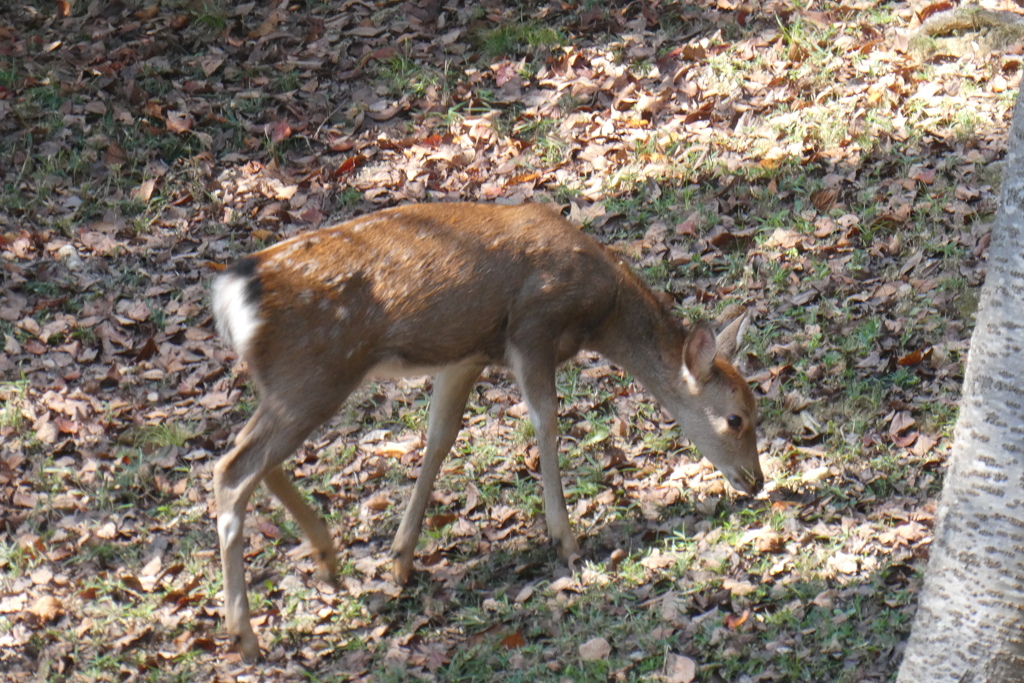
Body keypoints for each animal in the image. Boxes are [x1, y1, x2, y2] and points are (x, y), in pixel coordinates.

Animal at [214, 200, 761, 659]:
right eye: (736, 418)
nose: (756, 480)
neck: (599, 312)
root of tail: (233, 297)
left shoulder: (467, 355)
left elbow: (440, 436)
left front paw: (400, 558)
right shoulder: (532, 330)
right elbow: (547, 422)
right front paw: (565, 541)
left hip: (294, 385)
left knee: (254, 459)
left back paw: (327, 561)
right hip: (313, 374)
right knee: (232, 469)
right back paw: (245, 637)